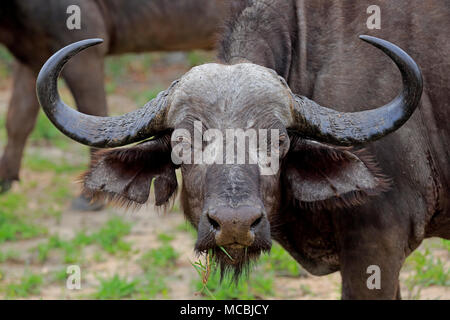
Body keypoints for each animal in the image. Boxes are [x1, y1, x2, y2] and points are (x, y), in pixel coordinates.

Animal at [0, 0, 232, 210]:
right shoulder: (31, 58)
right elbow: (17, 119)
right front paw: (5, 180)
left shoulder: (83, 53)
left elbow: (92, 109)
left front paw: (90, 198)